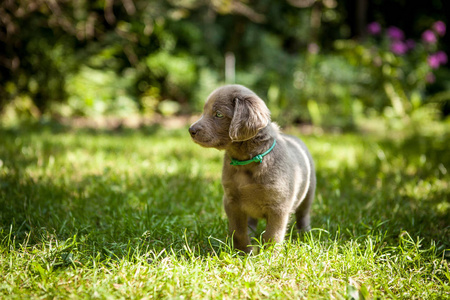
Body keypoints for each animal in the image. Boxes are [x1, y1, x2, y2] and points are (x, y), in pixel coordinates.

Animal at [188, 84, 314, 253]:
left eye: (218, 114)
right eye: (204, 111)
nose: (191, 130)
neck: (245, 163)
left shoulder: (279, 206)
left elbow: (272, 235)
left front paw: (269, 255)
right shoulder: (231, 201)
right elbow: (238, 231)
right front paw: (242, 252)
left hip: (308, 193)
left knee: (303, 215)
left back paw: (305, 235)